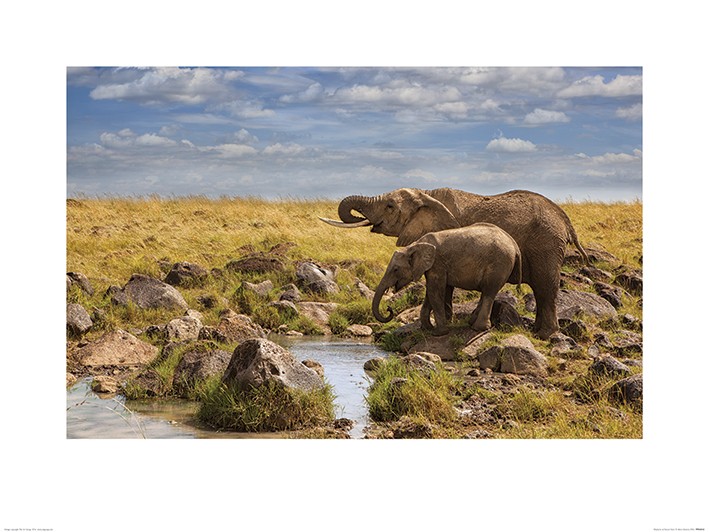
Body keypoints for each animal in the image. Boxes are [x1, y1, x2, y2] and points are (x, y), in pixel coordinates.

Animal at [372, 223, 522, 336]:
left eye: (395, 269)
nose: (389, 309)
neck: (414, 245)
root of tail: (515, 245)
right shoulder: (434, 266)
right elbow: (434, 291)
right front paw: (428, 328)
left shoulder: (437, 264)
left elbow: (435, 291)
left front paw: (438, 333)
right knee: (487, 292)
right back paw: (471, 323)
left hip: (499, 264)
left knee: (489, 292)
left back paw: (478, 328)